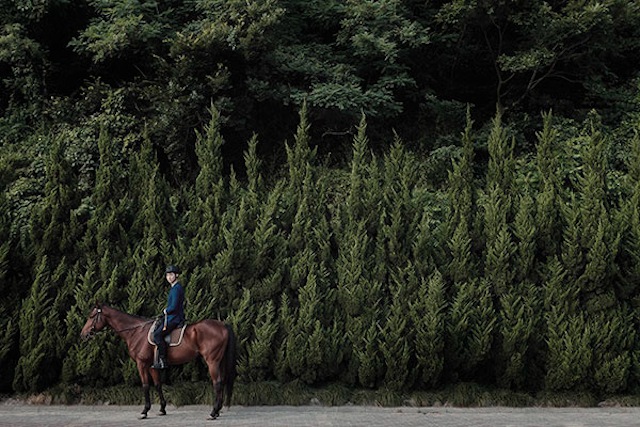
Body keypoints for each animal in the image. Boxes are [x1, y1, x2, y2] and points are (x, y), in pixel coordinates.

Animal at [80, 304, 238, 422]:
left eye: (91, 316)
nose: (83, 334)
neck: (137, 332)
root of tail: (223, 325)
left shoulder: (142, 363)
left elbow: (145, 385)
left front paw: (144, 411)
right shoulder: (152, 365)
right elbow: (157, 384)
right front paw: (162, 409)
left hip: (212, 361)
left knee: (217, 383)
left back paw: (213, 412)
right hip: (219, 361)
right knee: (222, 381)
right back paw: (218, 411)